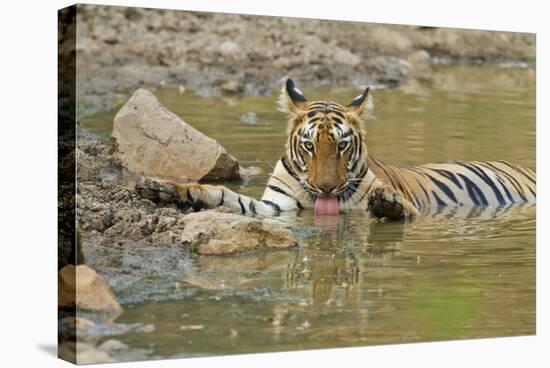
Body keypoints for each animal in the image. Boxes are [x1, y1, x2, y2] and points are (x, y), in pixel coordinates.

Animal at [135, 78, 540, 220]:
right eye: (309, 146)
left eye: (343, 147)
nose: (327, 188)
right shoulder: (277, 207)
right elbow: (224, 196)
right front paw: (165, 189)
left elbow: (398, 207)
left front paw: (387, 204)